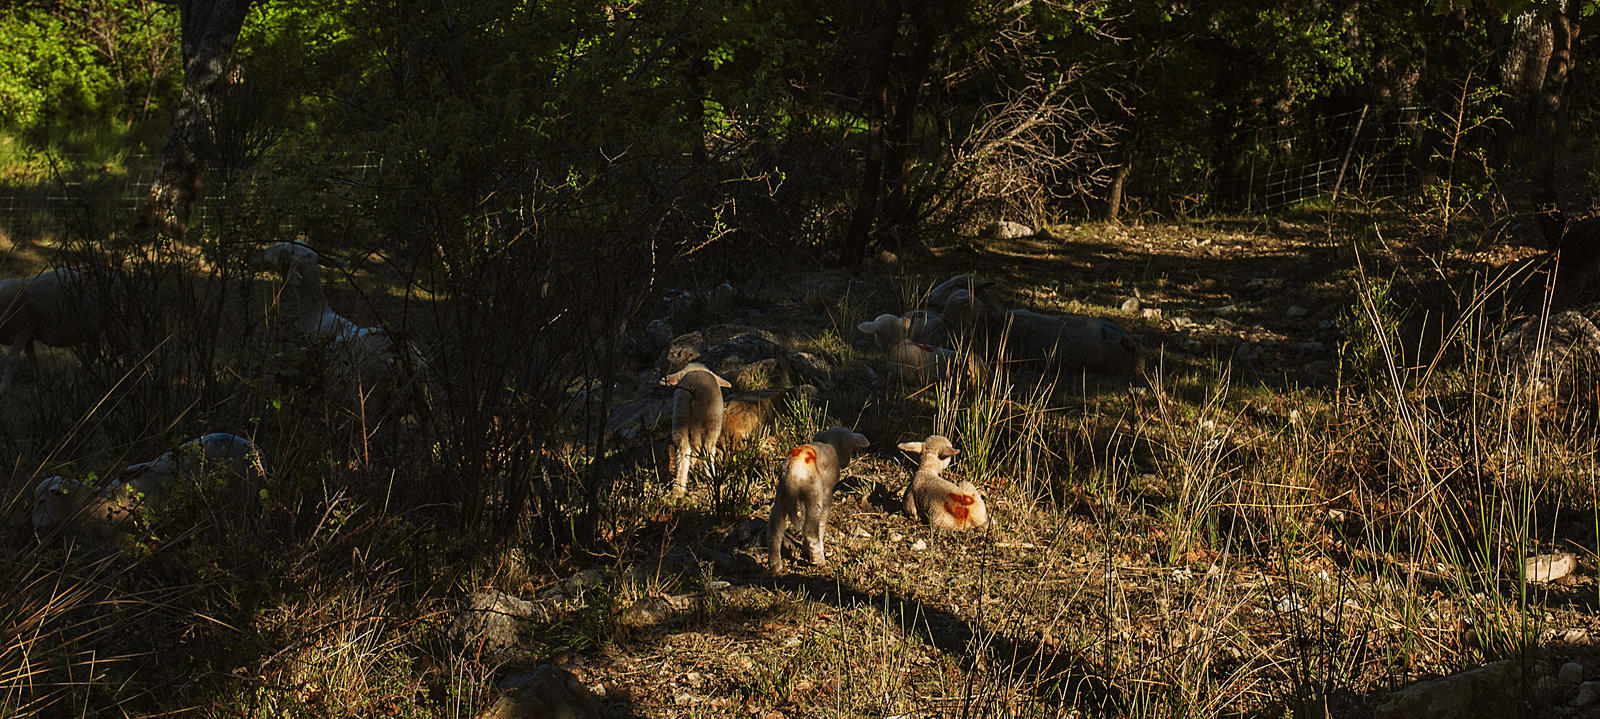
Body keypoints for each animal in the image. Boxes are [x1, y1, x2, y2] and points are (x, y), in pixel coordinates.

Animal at [662, 361, 732, 496]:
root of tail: (693, 389)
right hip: (711, 420)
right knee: (707, 448)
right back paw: (712, 477)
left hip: (680, 414)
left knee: (684, 448)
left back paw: (679, 488)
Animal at [768, 425, 870, 570]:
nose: (846, 463)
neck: (831, 443)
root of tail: (794, 470)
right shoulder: (827, 490)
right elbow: (822, 521)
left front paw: (806, 550)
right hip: (814, 491)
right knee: (810, 528)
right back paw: (819, 561)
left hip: (782, 491)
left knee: (776, 526)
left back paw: (775, 564)